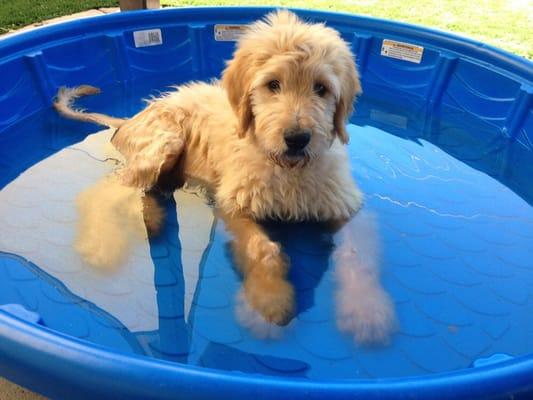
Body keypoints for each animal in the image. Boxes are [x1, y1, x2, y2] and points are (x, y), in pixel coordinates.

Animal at [55, 9, 394, 344]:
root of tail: (128, 120)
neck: (289, 172)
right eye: (273, 84)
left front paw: (366, 310)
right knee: (102, 192)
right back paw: (101, 242)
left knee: (148, 189)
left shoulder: (343, 208)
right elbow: (263, 251)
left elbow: (357, 255)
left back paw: (153, 219)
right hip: (165, 142)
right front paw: (268, 302)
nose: (297, 139)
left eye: (321, 88)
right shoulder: (234, 205)